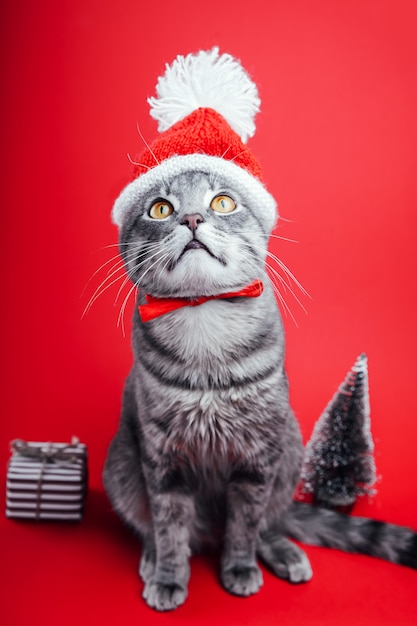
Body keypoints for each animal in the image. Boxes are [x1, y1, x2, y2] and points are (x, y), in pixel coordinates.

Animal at [101, 167, 416, 608]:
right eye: (160, 209)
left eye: (223, 202)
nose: (192, 218)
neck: (205, 322)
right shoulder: (163, 458)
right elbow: (169, 524)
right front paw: (169, 575)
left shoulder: (258, 456)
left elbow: (246, 523)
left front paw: (238, 566)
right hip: (122, 464)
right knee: (155, 526)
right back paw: (151, 558)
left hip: (289, 448)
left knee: (268, 521)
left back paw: (282, 551)